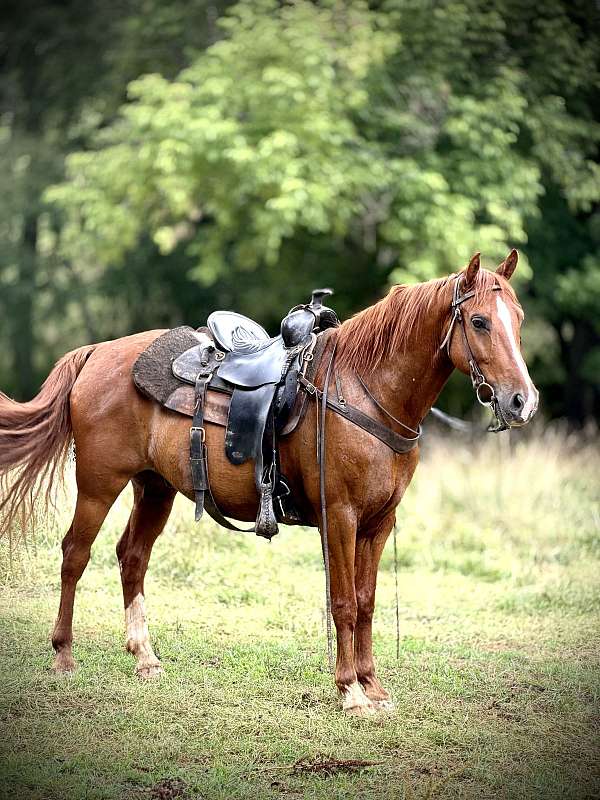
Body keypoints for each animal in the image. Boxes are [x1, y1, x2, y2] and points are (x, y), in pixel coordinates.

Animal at [0, 250, 538, 715]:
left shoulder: (379, 522)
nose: (522, 401)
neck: (365, 390)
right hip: (98, 484)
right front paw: (350, 691)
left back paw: (145, 658)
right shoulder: (339, 516)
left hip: (154, 488)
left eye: (518, 319)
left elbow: (366, 603)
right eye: (479, 321)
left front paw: (373, 685)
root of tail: (95, 354)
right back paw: (63, 655)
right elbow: (344, 603)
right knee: (75, 554)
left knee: (131, 557)